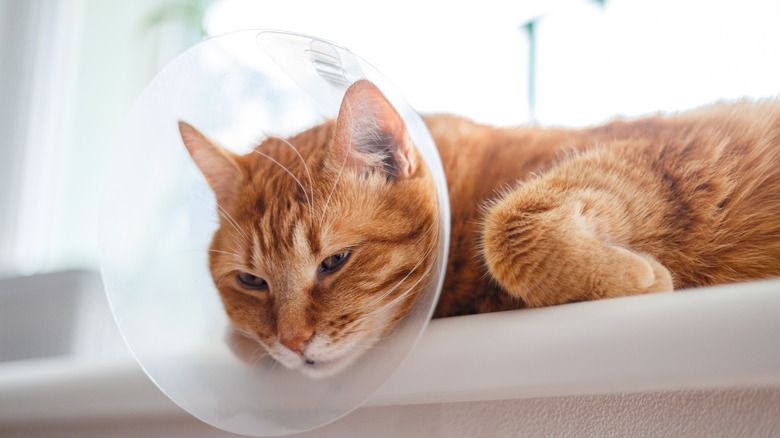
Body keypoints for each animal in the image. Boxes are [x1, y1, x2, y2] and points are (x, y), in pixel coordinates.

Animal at [180, 78, 780, 376]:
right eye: (251, 282)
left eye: (335, 262)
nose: (293, 342)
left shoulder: (663, 148)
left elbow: (508, 228)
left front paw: (639, 279)